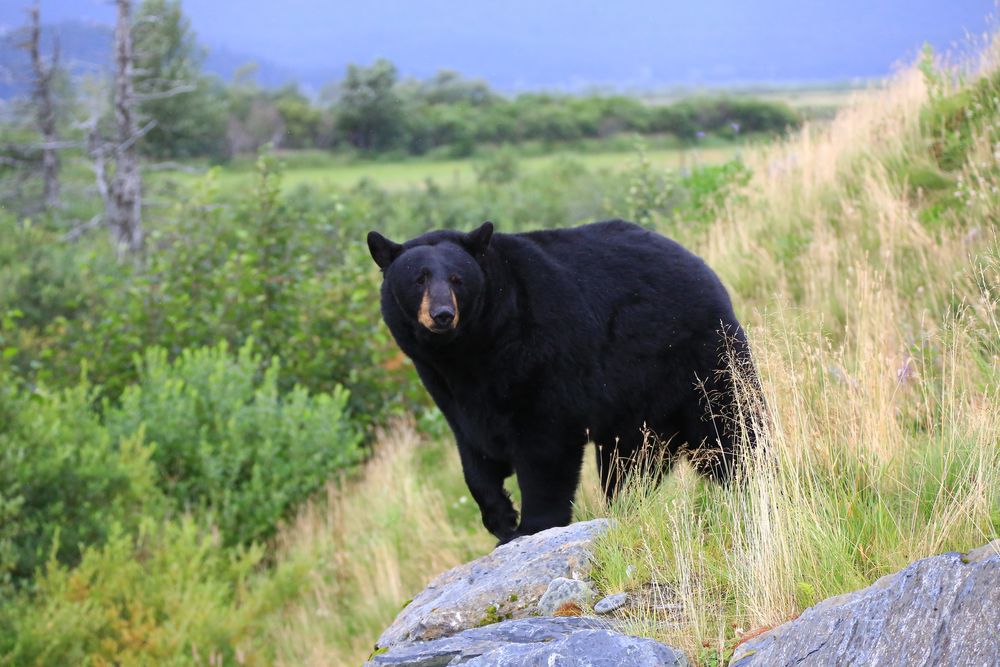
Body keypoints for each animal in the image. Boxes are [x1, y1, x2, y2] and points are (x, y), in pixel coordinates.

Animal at [372, 222, 752, 544]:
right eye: (418, 279)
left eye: (456, 279)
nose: (442, 315)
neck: (472, 351)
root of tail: (701, 266)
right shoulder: (448, 391)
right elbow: (475, 455)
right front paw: (502, 519)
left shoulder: (540, 353)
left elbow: (544, 446)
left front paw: (532, 525)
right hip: (637, 412)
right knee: (631, 465)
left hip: (697, 361)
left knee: (731, 428)